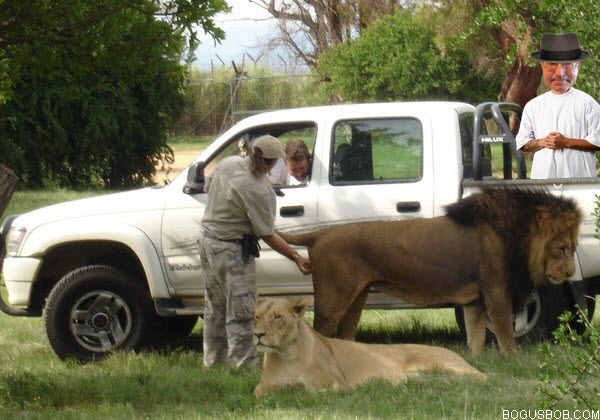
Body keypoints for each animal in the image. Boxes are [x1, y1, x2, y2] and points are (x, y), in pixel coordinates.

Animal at [251, 298, 486, 398]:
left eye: (277, 317)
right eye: (257, 317)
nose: (257, 335)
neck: (286, 354)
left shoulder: (338, 385)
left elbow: (310, 391)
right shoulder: (262, 387)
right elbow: (261, 393)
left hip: (441, 363)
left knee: (483, 377)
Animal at [278, 187, 584, 354]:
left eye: (573, 247)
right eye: (562, 248)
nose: (570, 273)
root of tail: (320, 234)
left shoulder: (474, 301)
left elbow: (476, 339)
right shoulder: (496, 292)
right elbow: (506, 336)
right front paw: (513, 360)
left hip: (357, 297)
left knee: (344, 335)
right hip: (334, 298)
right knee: (319, 332)